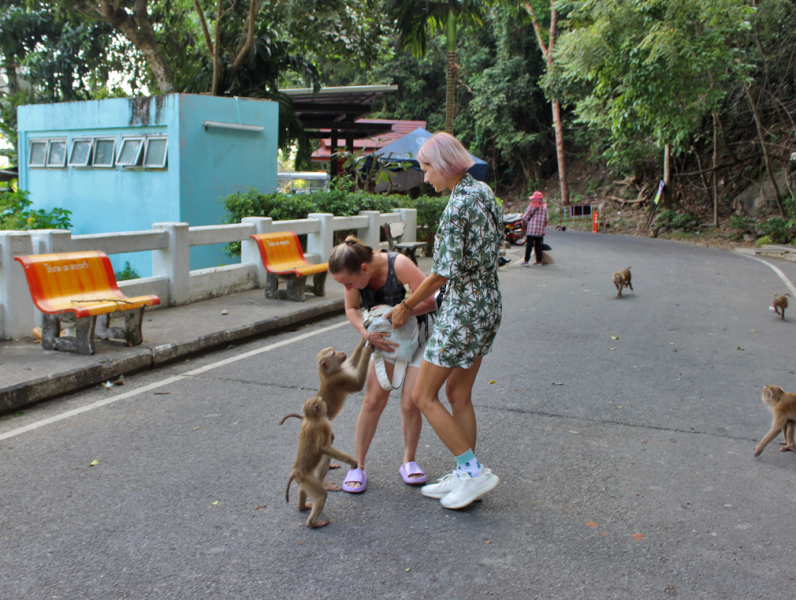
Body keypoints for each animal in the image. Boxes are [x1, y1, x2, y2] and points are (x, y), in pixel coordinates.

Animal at [286, 396, 358, 528]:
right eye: (321, 401)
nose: (325, 404)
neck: (311, 418)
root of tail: (296, 471)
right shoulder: (325, 424)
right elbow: (324, 449)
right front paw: (351, 461)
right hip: (307, 479)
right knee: (321, 496)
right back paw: (313, 523)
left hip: (303, 480)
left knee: (303, 489)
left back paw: (303, 507)